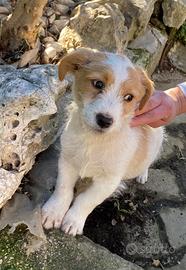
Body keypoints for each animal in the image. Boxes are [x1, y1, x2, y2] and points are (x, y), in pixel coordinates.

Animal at [41, 48, 163, 236]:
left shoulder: (108, 181)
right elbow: (63, 188)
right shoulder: (67, 161)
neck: (94, 141)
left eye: (129, 97)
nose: (105, 121)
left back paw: (142, 174)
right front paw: (54, 212)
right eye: (98, 84)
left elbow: (87, 200)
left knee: (148, 161)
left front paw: (74, 220)